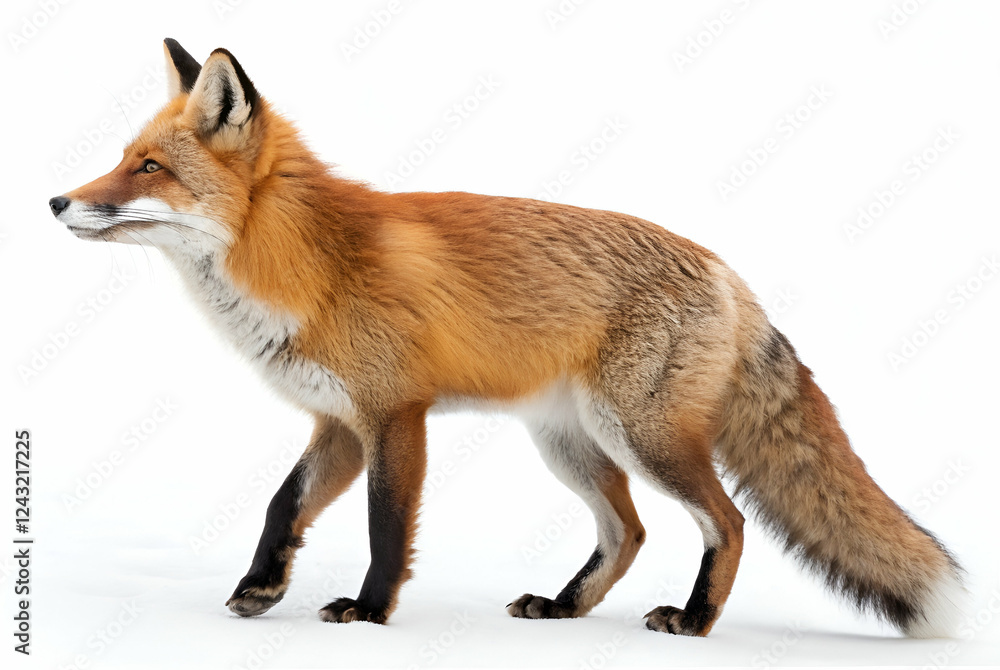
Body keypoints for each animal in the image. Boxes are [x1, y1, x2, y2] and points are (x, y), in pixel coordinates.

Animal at [48, 38, 965, 638]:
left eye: (149, 169)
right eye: (123, 158)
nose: (56, 201)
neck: (306, 262)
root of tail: (726, 272)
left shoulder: (395, 414)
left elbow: (387, 525)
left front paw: (369, 612)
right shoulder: (338, 420)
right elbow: (282, 505)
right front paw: (262, 586)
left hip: (644, 436)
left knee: (728, 522)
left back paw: (695, 618)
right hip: (569, 445)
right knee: (628, 533)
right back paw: (563, 607)